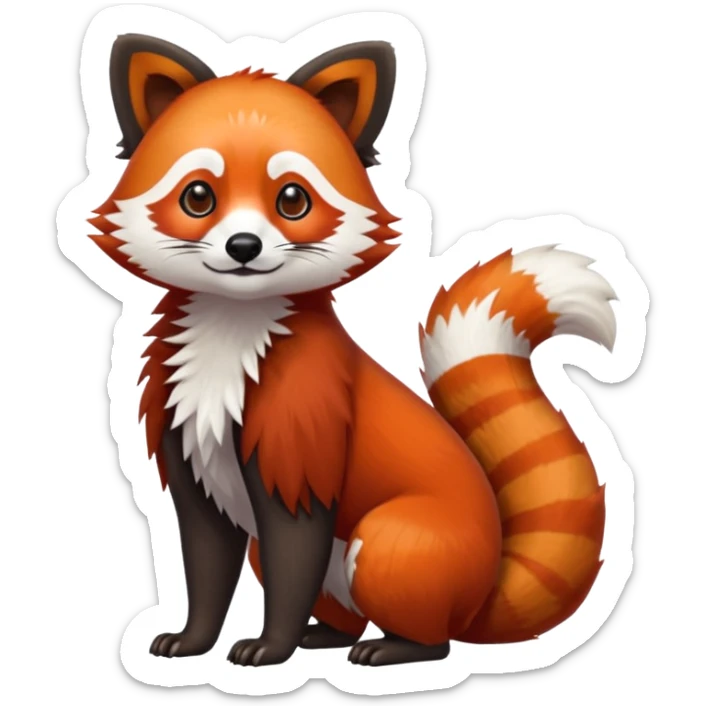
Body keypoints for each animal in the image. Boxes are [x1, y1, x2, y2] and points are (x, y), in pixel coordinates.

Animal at [86, 34, 617, 667]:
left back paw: (392, 649)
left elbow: (293, 562)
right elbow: (207, 569)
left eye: (292, 199)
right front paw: (194, 641)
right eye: (198, 196)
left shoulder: (300, 453)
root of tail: (484, 591)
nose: (244, 246)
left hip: (388, 540)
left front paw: (271, 649)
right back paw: (327, 636)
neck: (230, 336)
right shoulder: (190, 457)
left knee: (435, 639)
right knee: (340, 608)